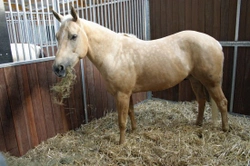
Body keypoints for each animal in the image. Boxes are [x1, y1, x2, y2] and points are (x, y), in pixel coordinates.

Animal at [52, 7, 229, 145]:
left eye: (73, 36)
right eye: (57, 36)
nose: (58, 68)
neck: (115, 53)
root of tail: (216, 43)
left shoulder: (121, 94)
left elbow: (121, 121)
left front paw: (121, 143)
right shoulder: (127, 93)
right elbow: (131, 112)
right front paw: (134, 131)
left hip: (212, 83)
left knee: (222, 102)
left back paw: (225, 129)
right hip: (195, 80)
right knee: (202, 101)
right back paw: (198, 124)